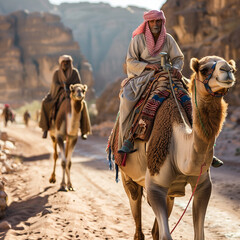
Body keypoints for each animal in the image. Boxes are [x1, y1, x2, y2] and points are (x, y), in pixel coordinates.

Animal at [119, 55, 235, 239]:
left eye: (233, 68)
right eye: (204, 69)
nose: (228, 70)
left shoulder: (203, 185)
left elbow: (199, 235)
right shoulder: (155, 186)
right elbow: (166, 235)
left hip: (170, 193)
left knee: (155, 229)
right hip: (127, 175)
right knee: (137, 215)